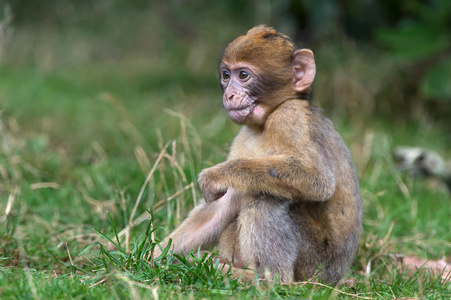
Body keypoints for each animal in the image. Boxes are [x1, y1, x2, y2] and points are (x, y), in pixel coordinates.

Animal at [155, 25, 364, 284]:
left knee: (265, 198)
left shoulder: (290, 117)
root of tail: (335, 277)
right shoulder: (243, 137)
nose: (229, 94)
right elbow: (225, 203)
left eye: (243, 75)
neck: (267, 120)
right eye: (226, 75)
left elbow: (317, 179)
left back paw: (267, 281)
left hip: (316, 264)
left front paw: (214, 176)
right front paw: (148, 256)